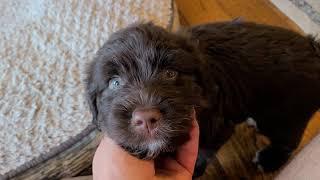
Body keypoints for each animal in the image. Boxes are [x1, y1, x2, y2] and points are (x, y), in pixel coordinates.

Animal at [85, 20, 320, 174]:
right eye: (115, 83)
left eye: (170, 74)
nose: (146, 118)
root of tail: (313, 47)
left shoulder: (219, 128)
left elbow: (203, 153)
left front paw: (196, 170)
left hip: (284, 116)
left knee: (288, 141)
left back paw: (269, 160)